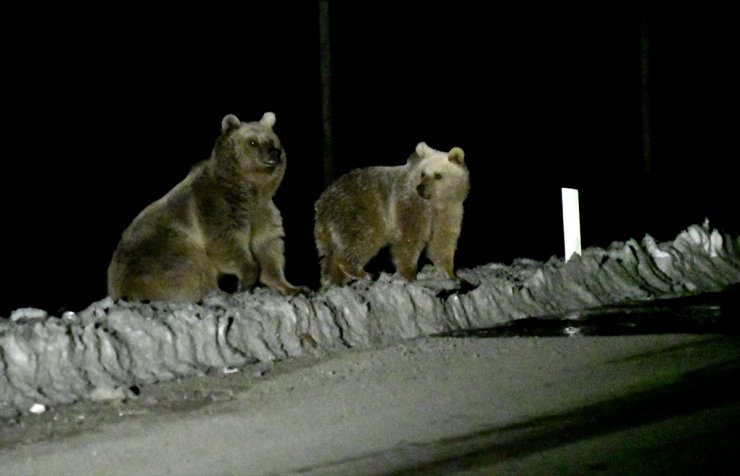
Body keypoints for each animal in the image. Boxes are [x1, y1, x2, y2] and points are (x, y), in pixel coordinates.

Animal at [107, 111, 306, 302]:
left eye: (272, 140)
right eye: (252, 142)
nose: (274, 153)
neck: (249, 189)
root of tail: (114, 287)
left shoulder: (262, 211)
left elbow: (268, 248)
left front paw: (293, 287)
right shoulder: (215, 206)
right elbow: (226, 244)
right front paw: (247, 278)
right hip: (163, 252)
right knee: (193, 269)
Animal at [312, 141, 468, 288]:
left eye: (438, 175)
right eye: (423, 173)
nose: (421, 188)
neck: (435, 202)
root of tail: (322, 203)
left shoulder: (450, 210)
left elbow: (443, 241)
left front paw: (450, 274)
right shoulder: (410, 204)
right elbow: (409, 239)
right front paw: (410, 274)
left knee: (333, 254)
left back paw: (335, 279)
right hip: (357, 212)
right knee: (364, 238)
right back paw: (359, 272)